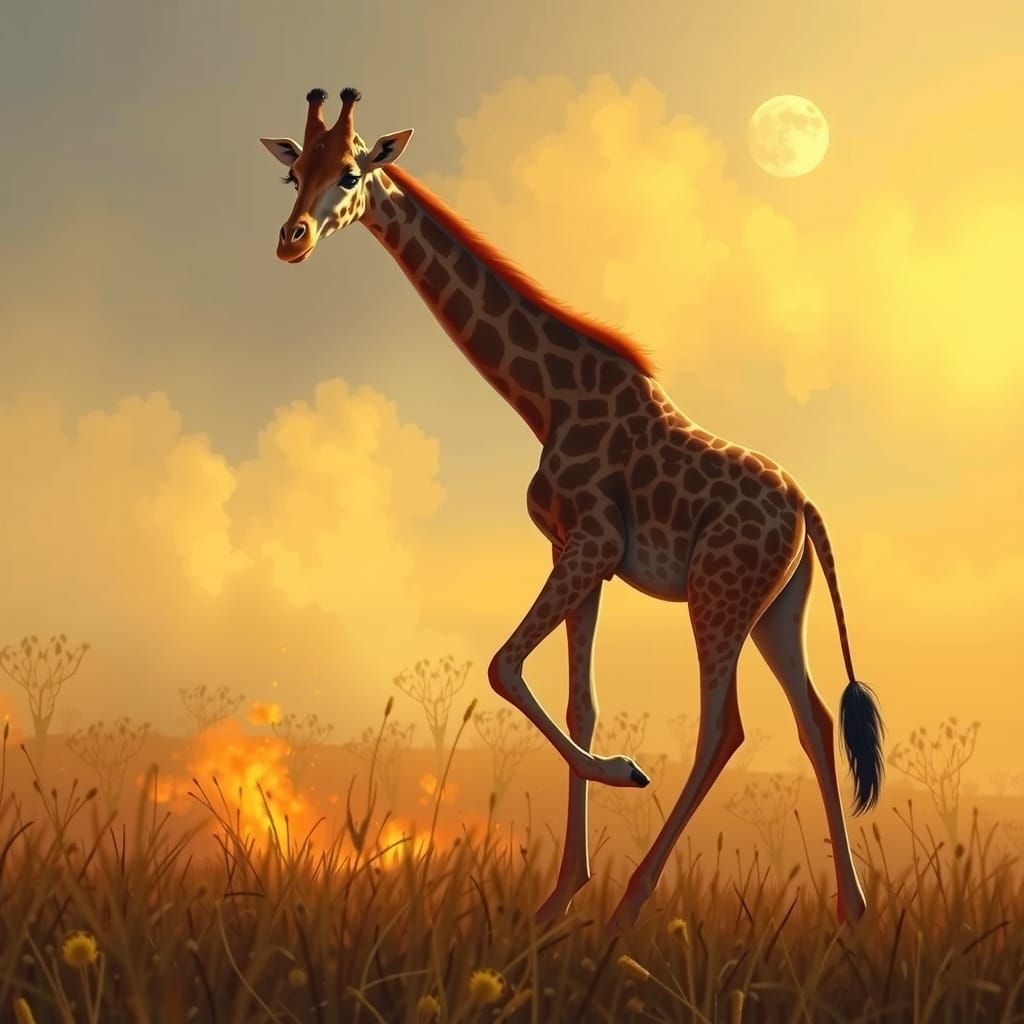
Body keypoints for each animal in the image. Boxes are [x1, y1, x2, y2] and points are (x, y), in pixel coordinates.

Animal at [259, 88, 885, 931]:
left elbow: (502, 666)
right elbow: (576, 701)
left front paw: (622, 776)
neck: (545, 398)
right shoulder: (579, 555)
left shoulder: (589, 544)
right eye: (295, 170)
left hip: (719, 596)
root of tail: (805, 506)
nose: (291, 241)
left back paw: (632, 903)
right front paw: (558, 895)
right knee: (812, 722)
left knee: (724, 728)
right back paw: (852, 909)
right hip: (778, 608)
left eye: (352, 172)